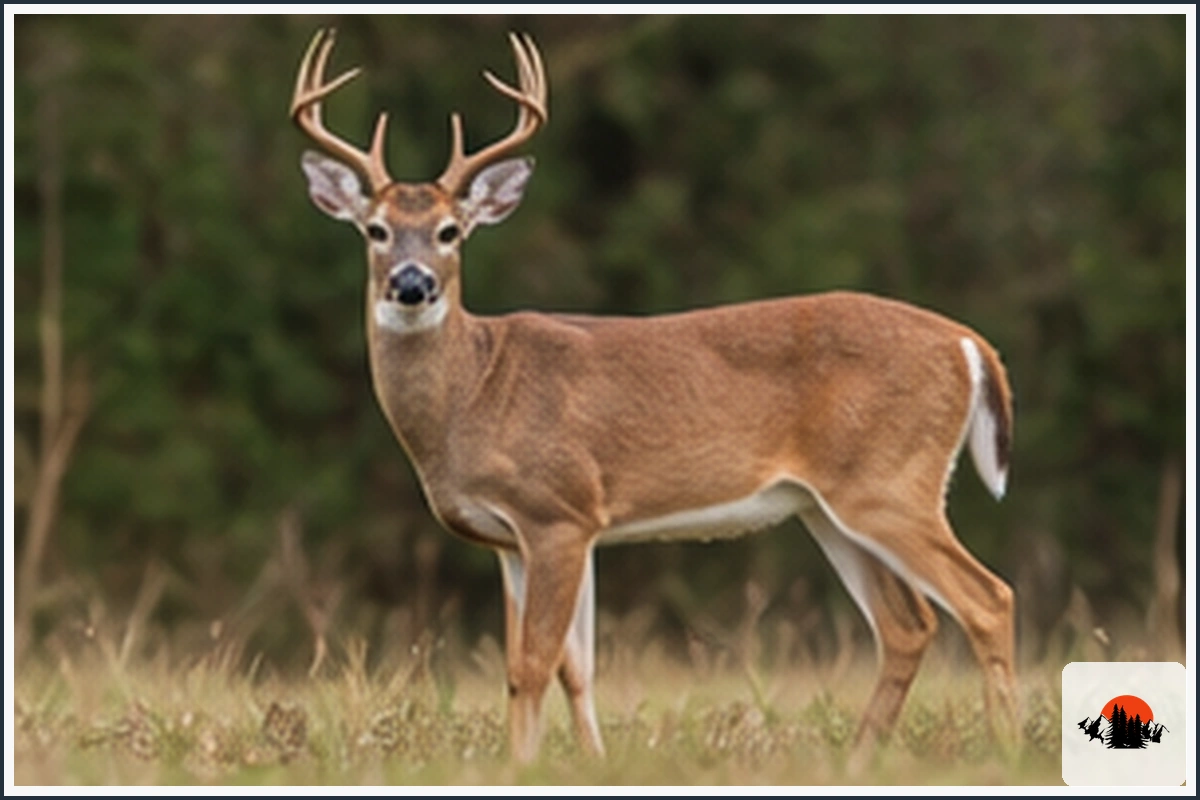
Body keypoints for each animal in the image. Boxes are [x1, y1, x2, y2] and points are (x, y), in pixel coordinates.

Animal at [291, 28, 1018, 763]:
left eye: (450, 231)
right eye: (376, 230)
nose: (412, 284)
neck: (474, 392)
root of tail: (969, 344)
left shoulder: (559, 511)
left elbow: (533, 664)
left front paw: (520, 768)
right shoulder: (514, 539)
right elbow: (566, 667)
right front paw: (585, 764)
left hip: (890, 482)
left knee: (988, 599)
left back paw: (1004, 749)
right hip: (827, 505)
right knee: (907, 626)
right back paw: (858, 761)